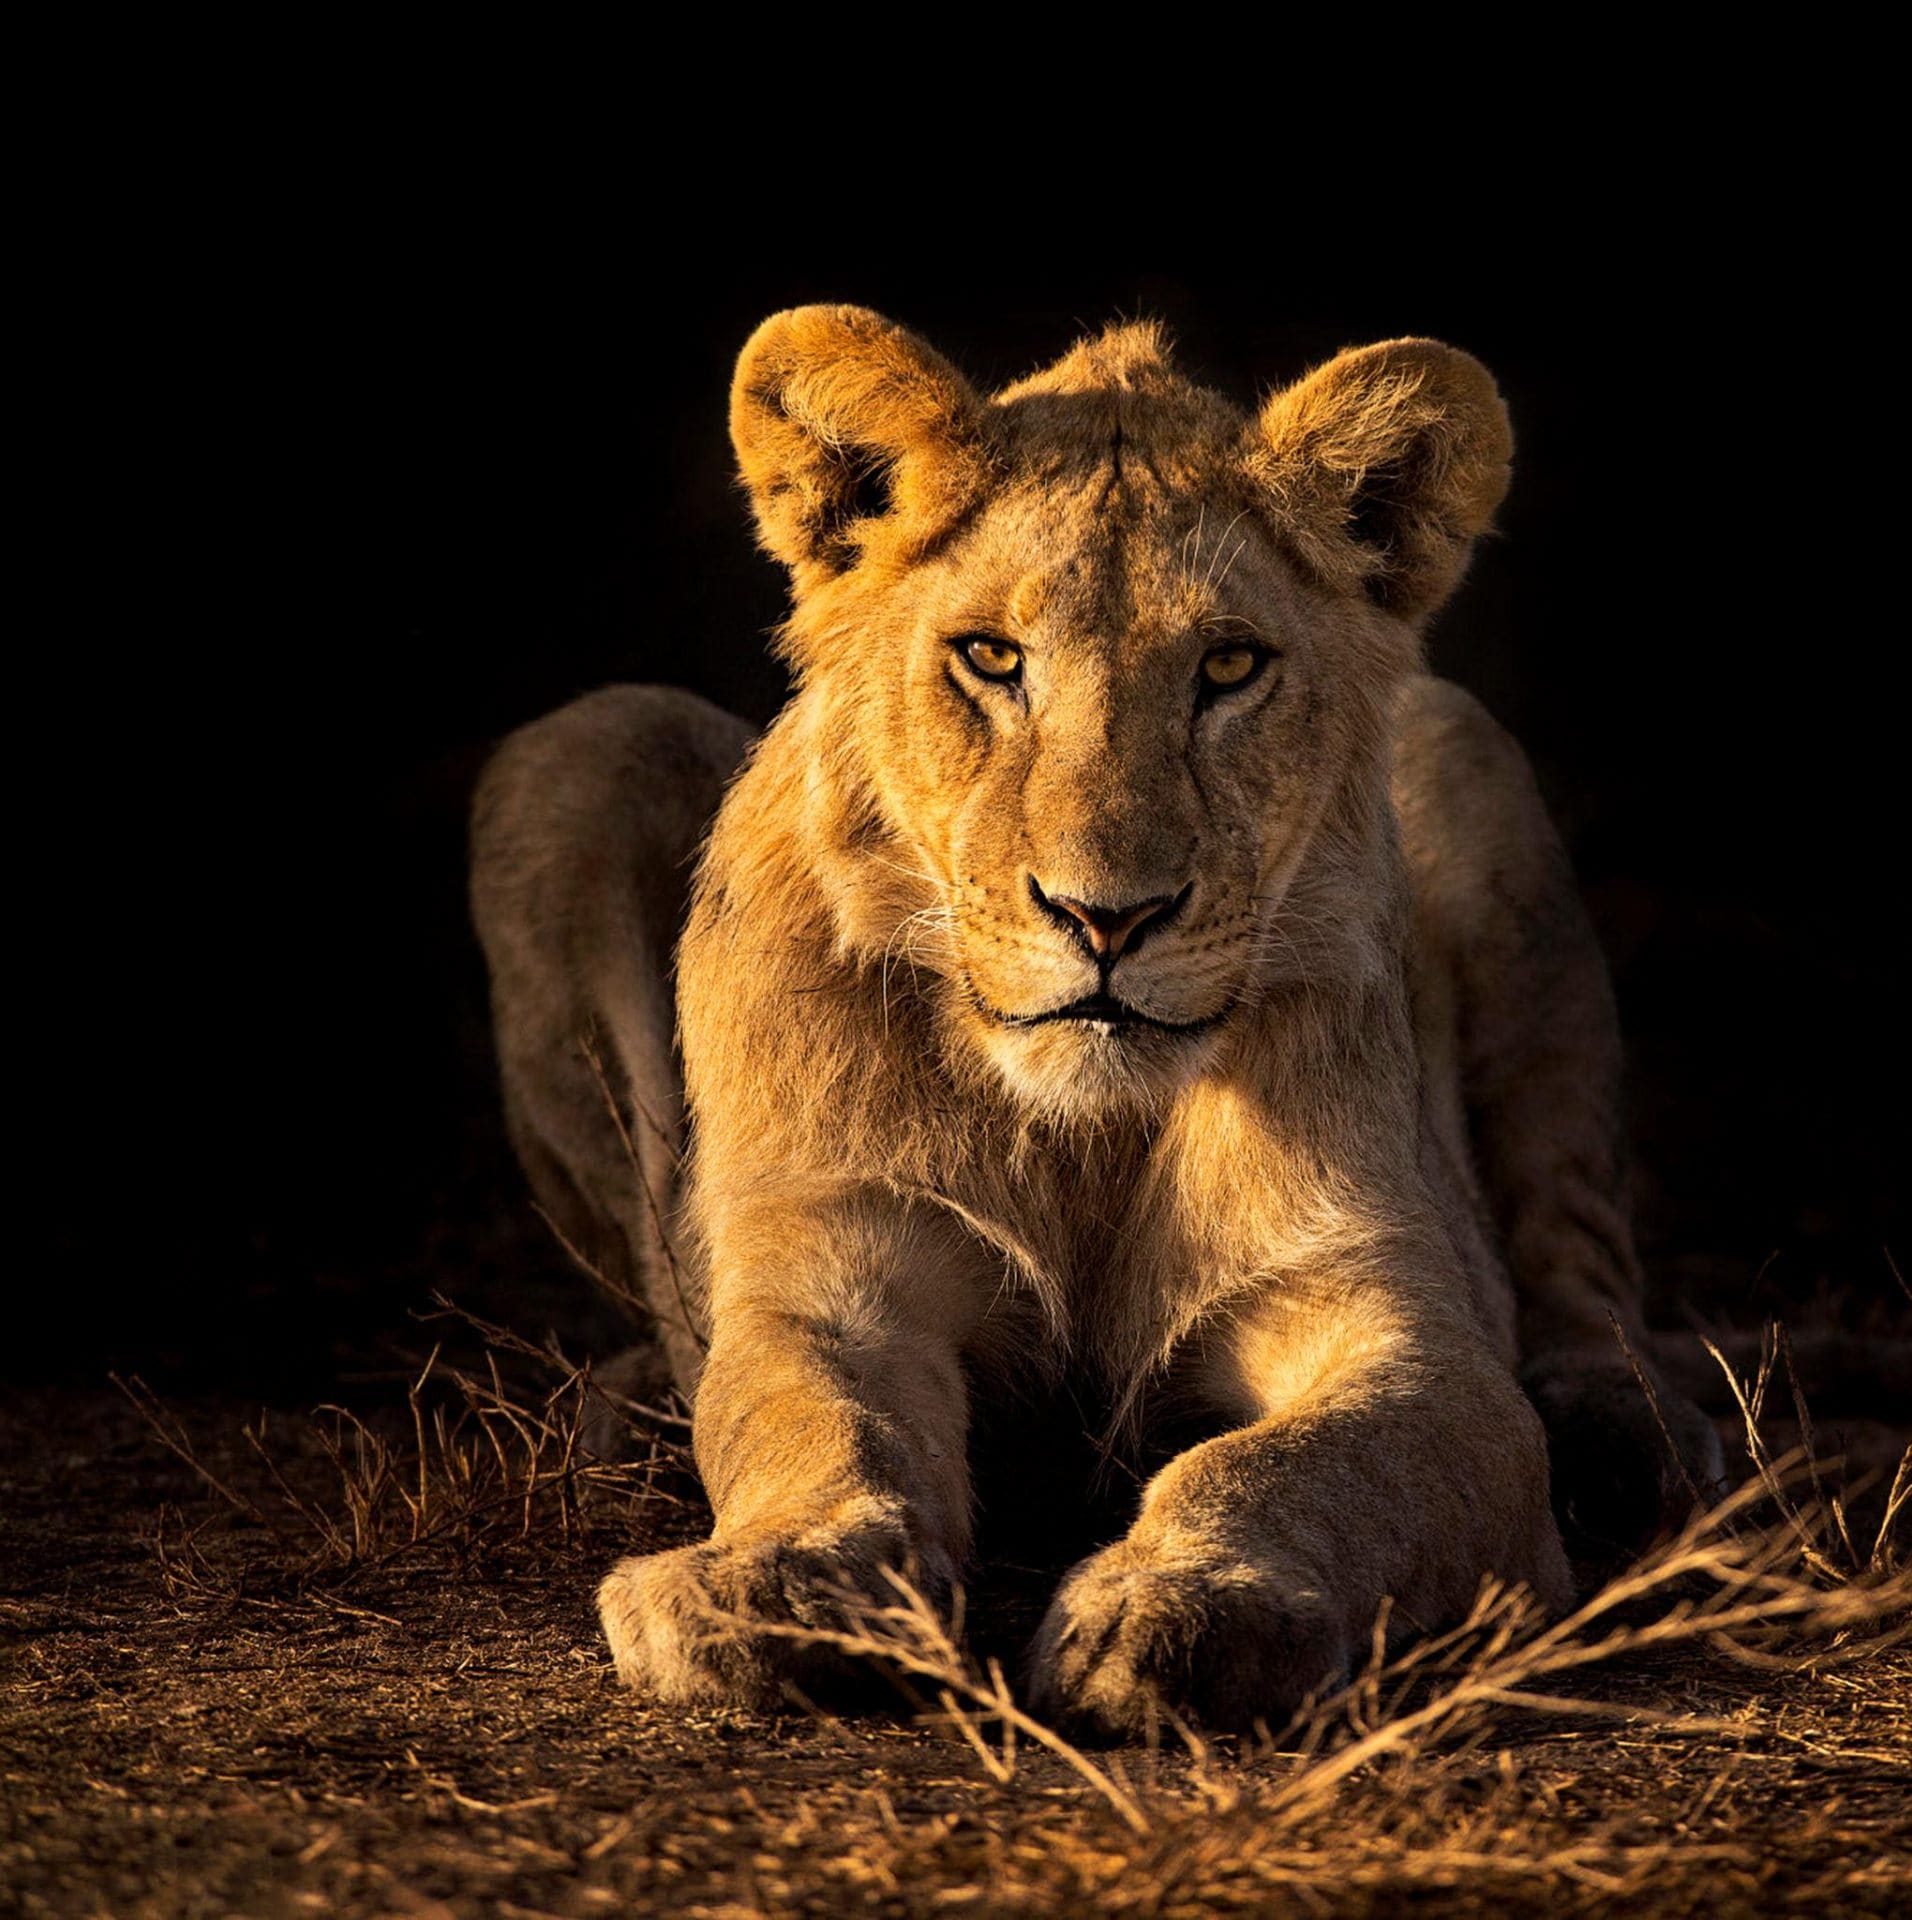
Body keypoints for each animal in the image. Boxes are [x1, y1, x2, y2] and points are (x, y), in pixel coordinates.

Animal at [470, 306, 1721, 1735]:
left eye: (1228, 665)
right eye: (990, 658)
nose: (1106, 918)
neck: (1082, 1134)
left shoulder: (1393, 1319)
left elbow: (1294, 1462)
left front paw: (1183, 1605)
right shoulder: (833, 1265)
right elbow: (805, 1414)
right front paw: (772, 1583)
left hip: (1467, 762)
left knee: (1578, 1259)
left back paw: (1638, 1437)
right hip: (580, 749)